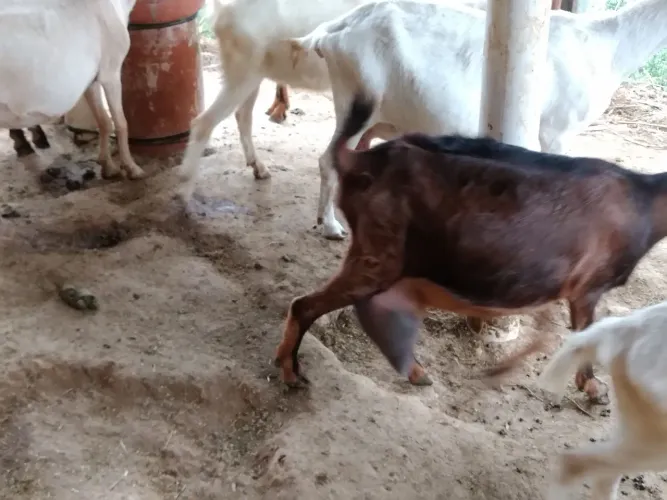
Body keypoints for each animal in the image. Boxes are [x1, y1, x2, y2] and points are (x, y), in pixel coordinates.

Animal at [0, 0, 145, 180]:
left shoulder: (92, 80)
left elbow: (104, 121)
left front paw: (108, 167)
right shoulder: (110, 71)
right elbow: (121, 123)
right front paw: (133, 169)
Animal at [273, 92, 667, 407]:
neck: (646, 201)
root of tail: (359, 159)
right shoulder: (586, 286)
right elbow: (575, 334)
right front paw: (592, 388)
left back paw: (417, 373)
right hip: (378, 254)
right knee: (307, 305)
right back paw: (291, 372)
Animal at [288, 0, 667, 239]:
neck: (611, 45)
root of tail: (332, 32)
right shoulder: (556, 130)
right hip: (357, 102)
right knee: (329, 159)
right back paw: (330, 227)